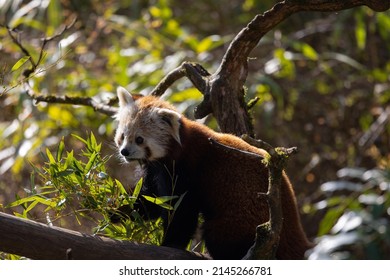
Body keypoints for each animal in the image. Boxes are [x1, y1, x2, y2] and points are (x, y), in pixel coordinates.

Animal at [114, 86, 312, 260]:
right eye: (123, 136)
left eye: (139, 139)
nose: (125, 152)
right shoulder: (156, 171)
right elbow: (150, 200)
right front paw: (116, 211)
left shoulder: (187, 170)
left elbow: (181, 211)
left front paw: (170, 243)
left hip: (238, 222)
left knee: (219, 236)